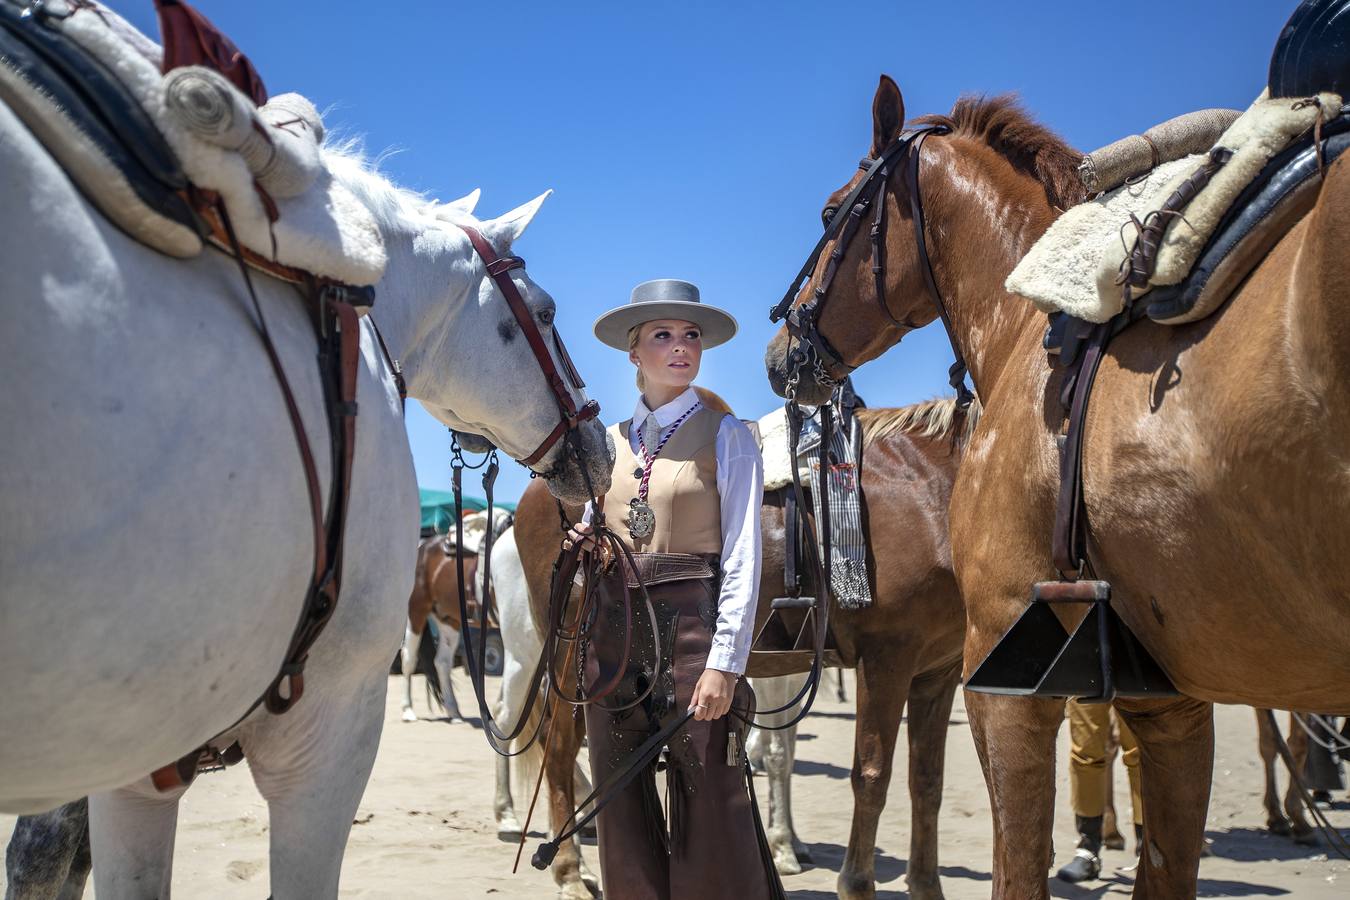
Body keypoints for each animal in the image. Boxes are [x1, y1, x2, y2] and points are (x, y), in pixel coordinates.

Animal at [510, 402, 977, 900]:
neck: (923, 487)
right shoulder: (886, 659)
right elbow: (871, 777)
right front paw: (852, 881)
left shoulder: (936, 673)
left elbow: (927, 783)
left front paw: (926, 887)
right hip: (565, 665)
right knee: (559, 749)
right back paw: (570, 871)